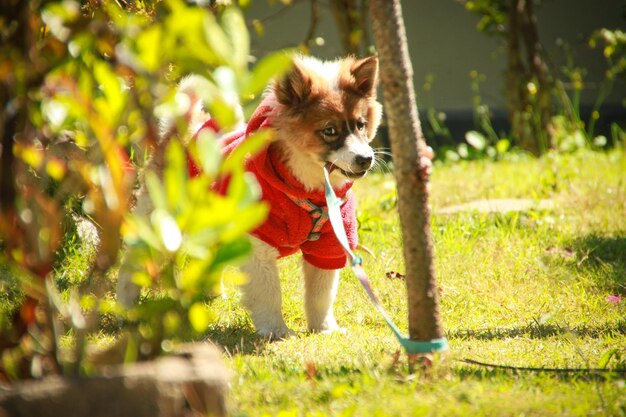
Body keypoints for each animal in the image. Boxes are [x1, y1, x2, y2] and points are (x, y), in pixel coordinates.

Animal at [115, 54, 382, 338]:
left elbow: (321, 295)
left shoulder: (329, 244)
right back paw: (125, 308)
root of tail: (181, 130)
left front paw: (324, 329)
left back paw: (211, 294)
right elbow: (269, 293)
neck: (306, 190)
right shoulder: (259, 244)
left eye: (361, 125)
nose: (365, 159)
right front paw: (276, 331)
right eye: (329, 130)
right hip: (160, 222)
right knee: (132, 264)